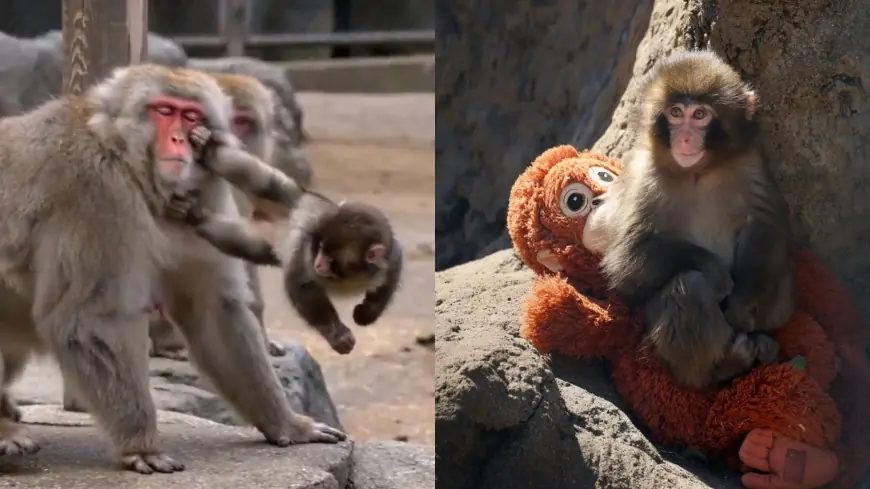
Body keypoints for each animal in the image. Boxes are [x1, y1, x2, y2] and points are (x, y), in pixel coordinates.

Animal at [0, 63, 344, 473]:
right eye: (163, 111)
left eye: (190, 115)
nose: (179, 139)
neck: (131, 167)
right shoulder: (97, 196)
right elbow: (91, 320)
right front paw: (142, 444)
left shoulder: (205, 193)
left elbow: (214, 311)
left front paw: (286, 422)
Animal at [590, 50, 796, 390]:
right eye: (676, 112)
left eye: (700, 115)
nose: (685, 138)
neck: (698, 172)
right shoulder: (643, 175)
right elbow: (626, 259)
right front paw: (714, 272)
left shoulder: (750, 162)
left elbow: (765, 226)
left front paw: (741, 303)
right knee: (689, 286)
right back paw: (724, 366)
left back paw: (762, 340)